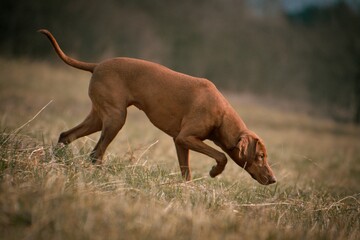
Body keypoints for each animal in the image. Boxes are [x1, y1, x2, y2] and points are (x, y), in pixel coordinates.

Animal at [38, 29, 276, 185]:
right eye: (260, 156)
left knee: (66, 135)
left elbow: (186, 174)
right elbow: (222, 156)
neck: (222, 115)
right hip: (116, 118)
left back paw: (55, 161)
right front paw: (214, 172)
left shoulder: (180, 142)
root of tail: (97, 65)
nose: (273, 179)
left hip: (99, 118)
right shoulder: (186, 137)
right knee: (96, 153)